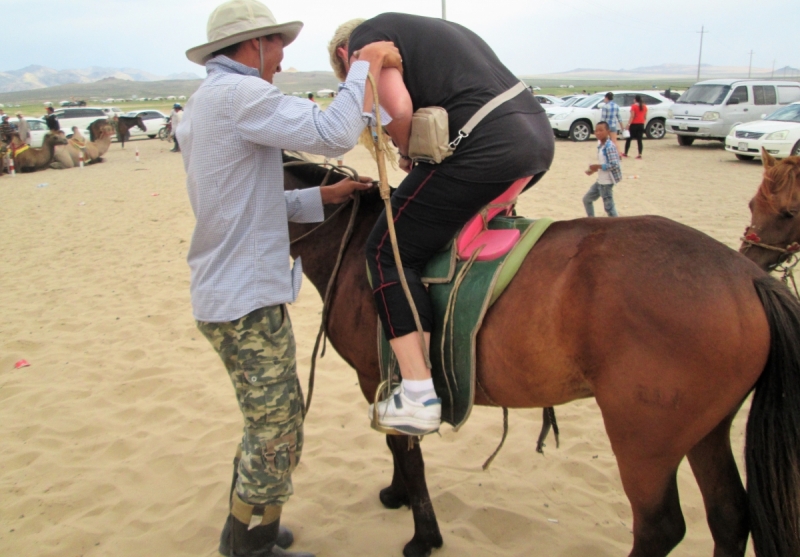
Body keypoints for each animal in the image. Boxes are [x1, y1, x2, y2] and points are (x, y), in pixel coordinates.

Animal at [282, 156, 800, 556]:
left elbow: (406, 450)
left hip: (645, 443)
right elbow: (395, 445)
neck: (354, 242)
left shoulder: (379, 376)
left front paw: (423, 534)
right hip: (707, 431)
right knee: (729, 516)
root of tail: (748, 276)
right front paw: (398, 494)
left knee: (661, 528)